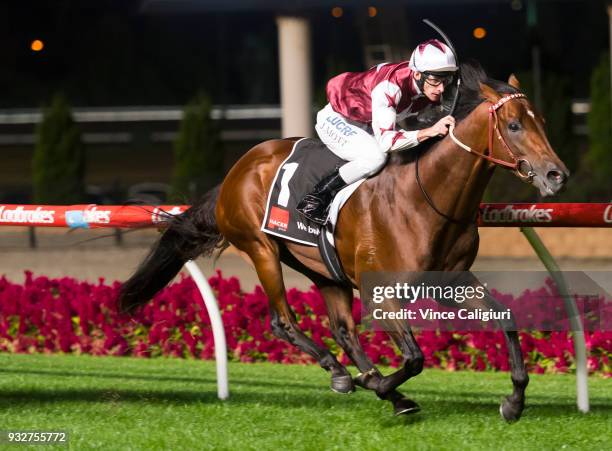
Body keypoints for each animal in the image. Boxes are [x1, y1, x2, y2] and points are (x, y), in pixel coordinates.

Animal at [118, 61, 568, 422]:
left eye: (543, 122)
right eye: (514, 125)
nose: (556, 175)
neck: (427, 197)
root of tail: (239, 168)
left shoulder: (452, 281)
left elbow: (505, 318)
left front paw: (514, 401)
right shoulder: (381, 292)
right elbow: (414, 357)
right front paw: (383, 385)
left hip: (322, 268)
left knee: (343, 330)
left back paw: (374, 383)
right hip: (261, 250)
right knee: (284, 321)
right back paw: (342, 374)